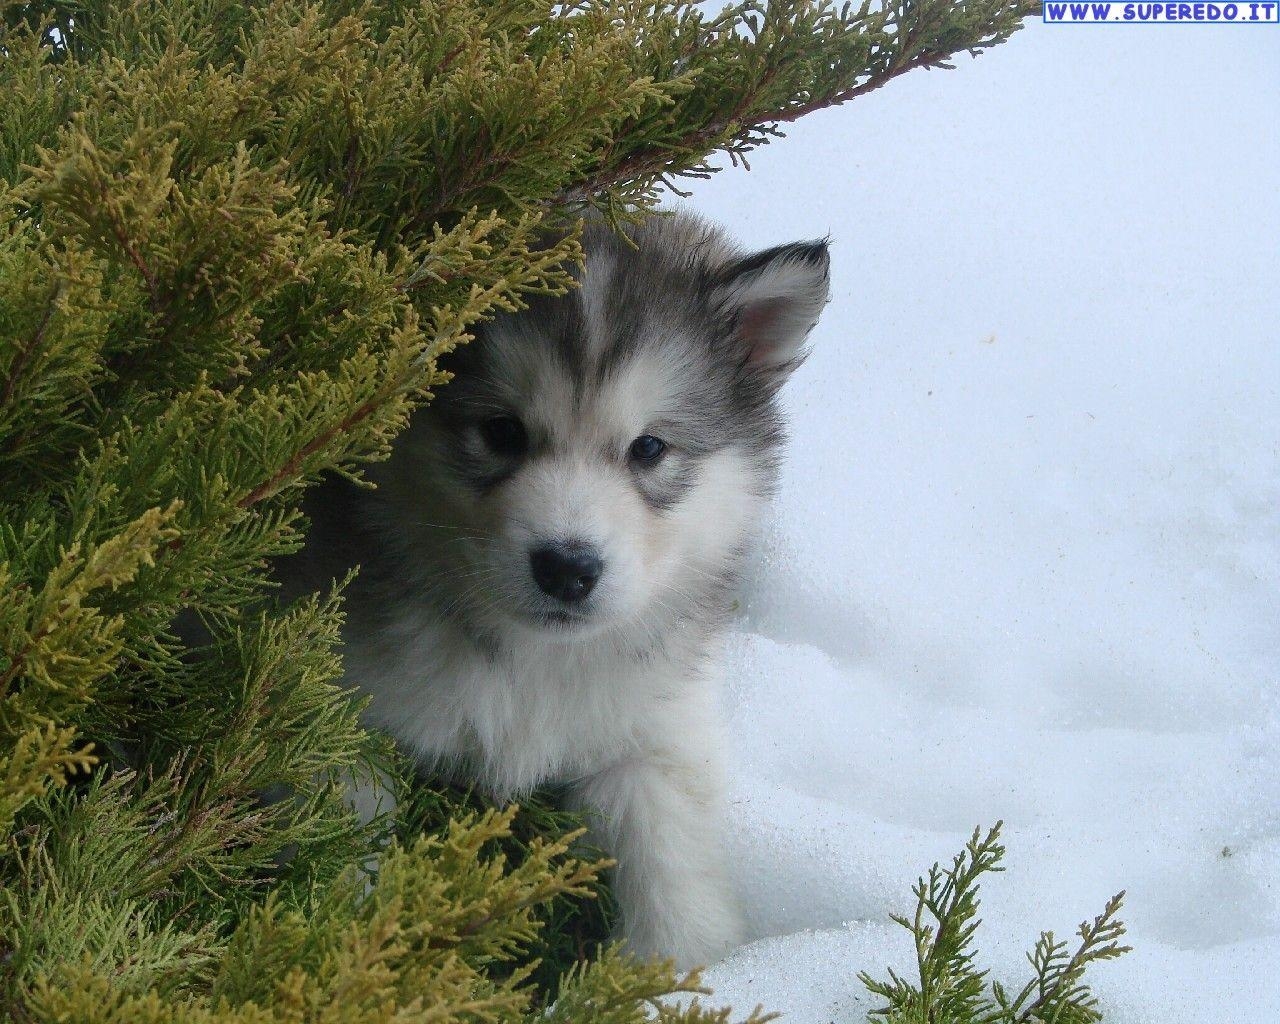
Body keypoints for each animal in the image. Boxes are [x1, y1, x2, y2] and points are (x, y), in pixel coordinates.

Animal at [286, 209, 829, 967]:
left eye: (649, 448)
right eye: (500, 431)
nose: (568, 568)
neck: (533, 666)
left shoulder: (651, 725)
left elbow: (673, 859)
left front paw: (680, 970)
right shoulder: (344, 707)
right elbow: (346, 834)